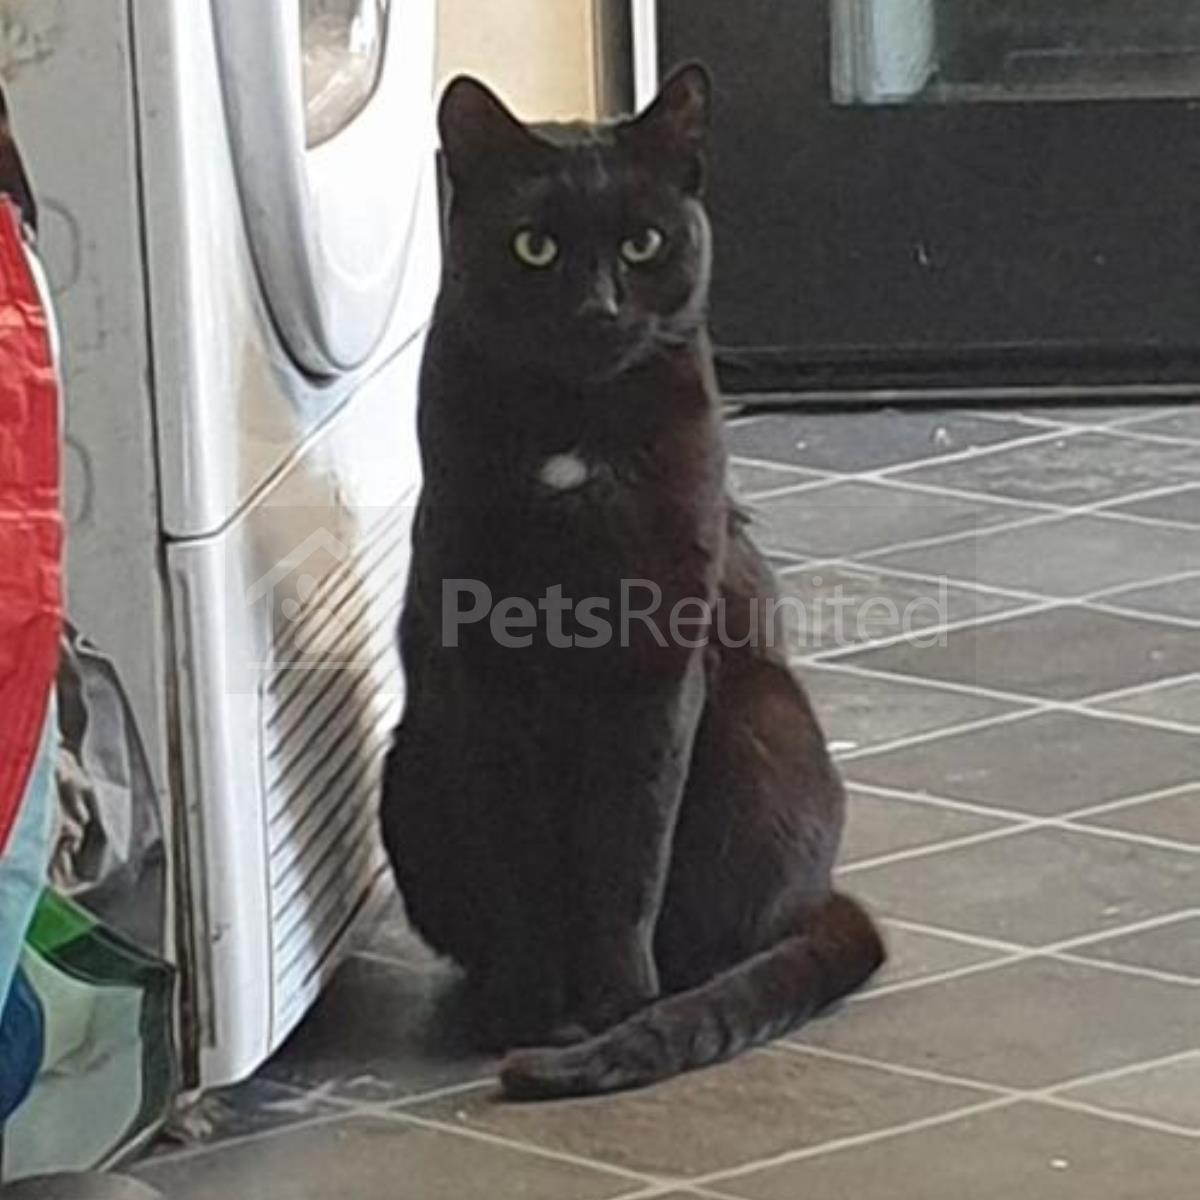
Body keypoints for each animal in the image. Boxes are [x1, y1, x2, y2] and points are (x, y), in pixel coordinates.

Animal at [379, 63, 885, 1099]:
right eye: (534, 247)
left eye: (642, 242)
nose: (599, 309)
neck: (573, 433)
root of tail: (827, 899)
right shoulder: (483, 673)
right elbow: (522, 855)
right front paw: (529, 1007)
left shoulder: (654, 664)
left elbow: (627, 850)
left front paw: (613, 1010)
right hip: (407, 765)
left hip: (765, 728)